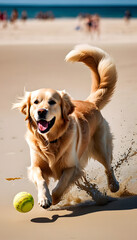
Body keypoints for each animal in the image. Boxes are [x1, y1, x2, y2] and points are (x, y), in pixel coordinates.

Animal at [13, 44, 119, 208]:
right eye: (35, 102)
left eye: (52, 102)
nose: (41, 111)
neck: (50, 141)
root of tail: (89, 102)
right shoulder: (36, 165)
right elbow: (41, 179)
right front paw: (44, 198)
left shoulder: (72, 167)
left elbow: (61, 185)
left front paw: (55, 198)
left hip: (100, 147)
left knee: (108, 166)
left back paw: (113, 186)